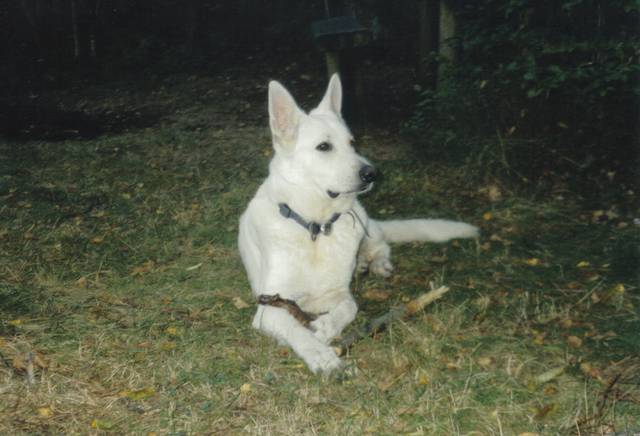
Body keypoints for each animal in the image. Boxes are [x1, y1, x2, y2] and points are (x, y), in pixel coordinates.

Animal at [238, 74, 478, 374]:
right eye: (324, 146)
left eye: (352, 143)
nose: (371, 173)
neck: (315, 228)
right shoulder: (269, 307)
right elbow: (298, 331)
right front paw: (321, 355)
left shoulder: (339, 293)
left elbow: (348, 308)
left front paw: (326, 327)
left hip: (363, 219)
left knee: (380, 243)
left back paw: (374, 263)